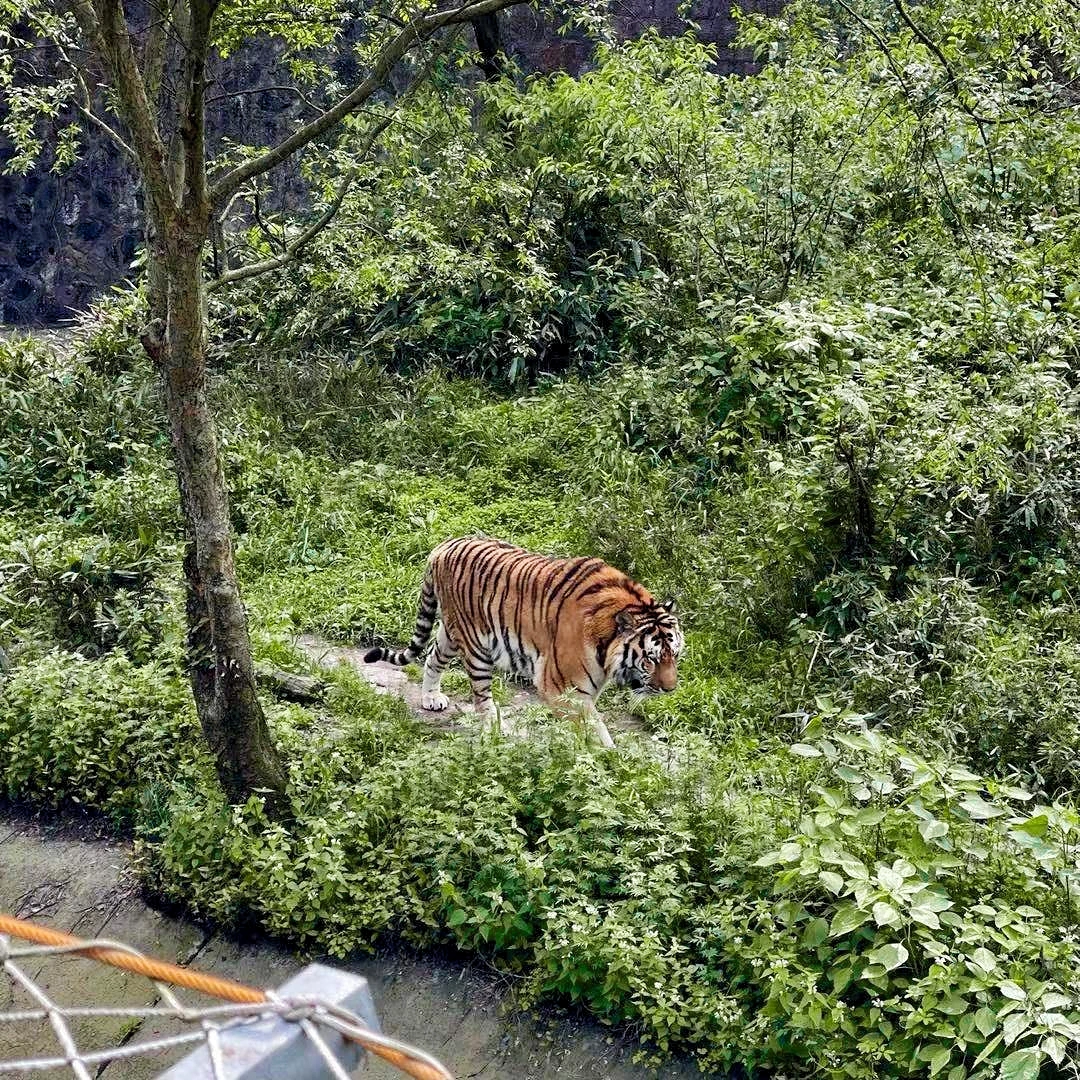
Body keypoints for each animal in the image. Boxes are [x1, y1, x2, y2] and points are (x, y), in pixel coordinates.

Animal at [363, 536, 683, 748]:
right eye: (650, 658)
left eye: (675, 655)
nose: (670, 690)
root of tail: (443, 546)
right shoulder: (561, 687)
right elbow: (595, 731)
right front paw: (606, 768)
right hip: (474, 644)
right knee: (481, 699)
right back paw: (493, 733)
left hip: (451, 633)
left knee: (432, 656)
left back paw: (431, 698)